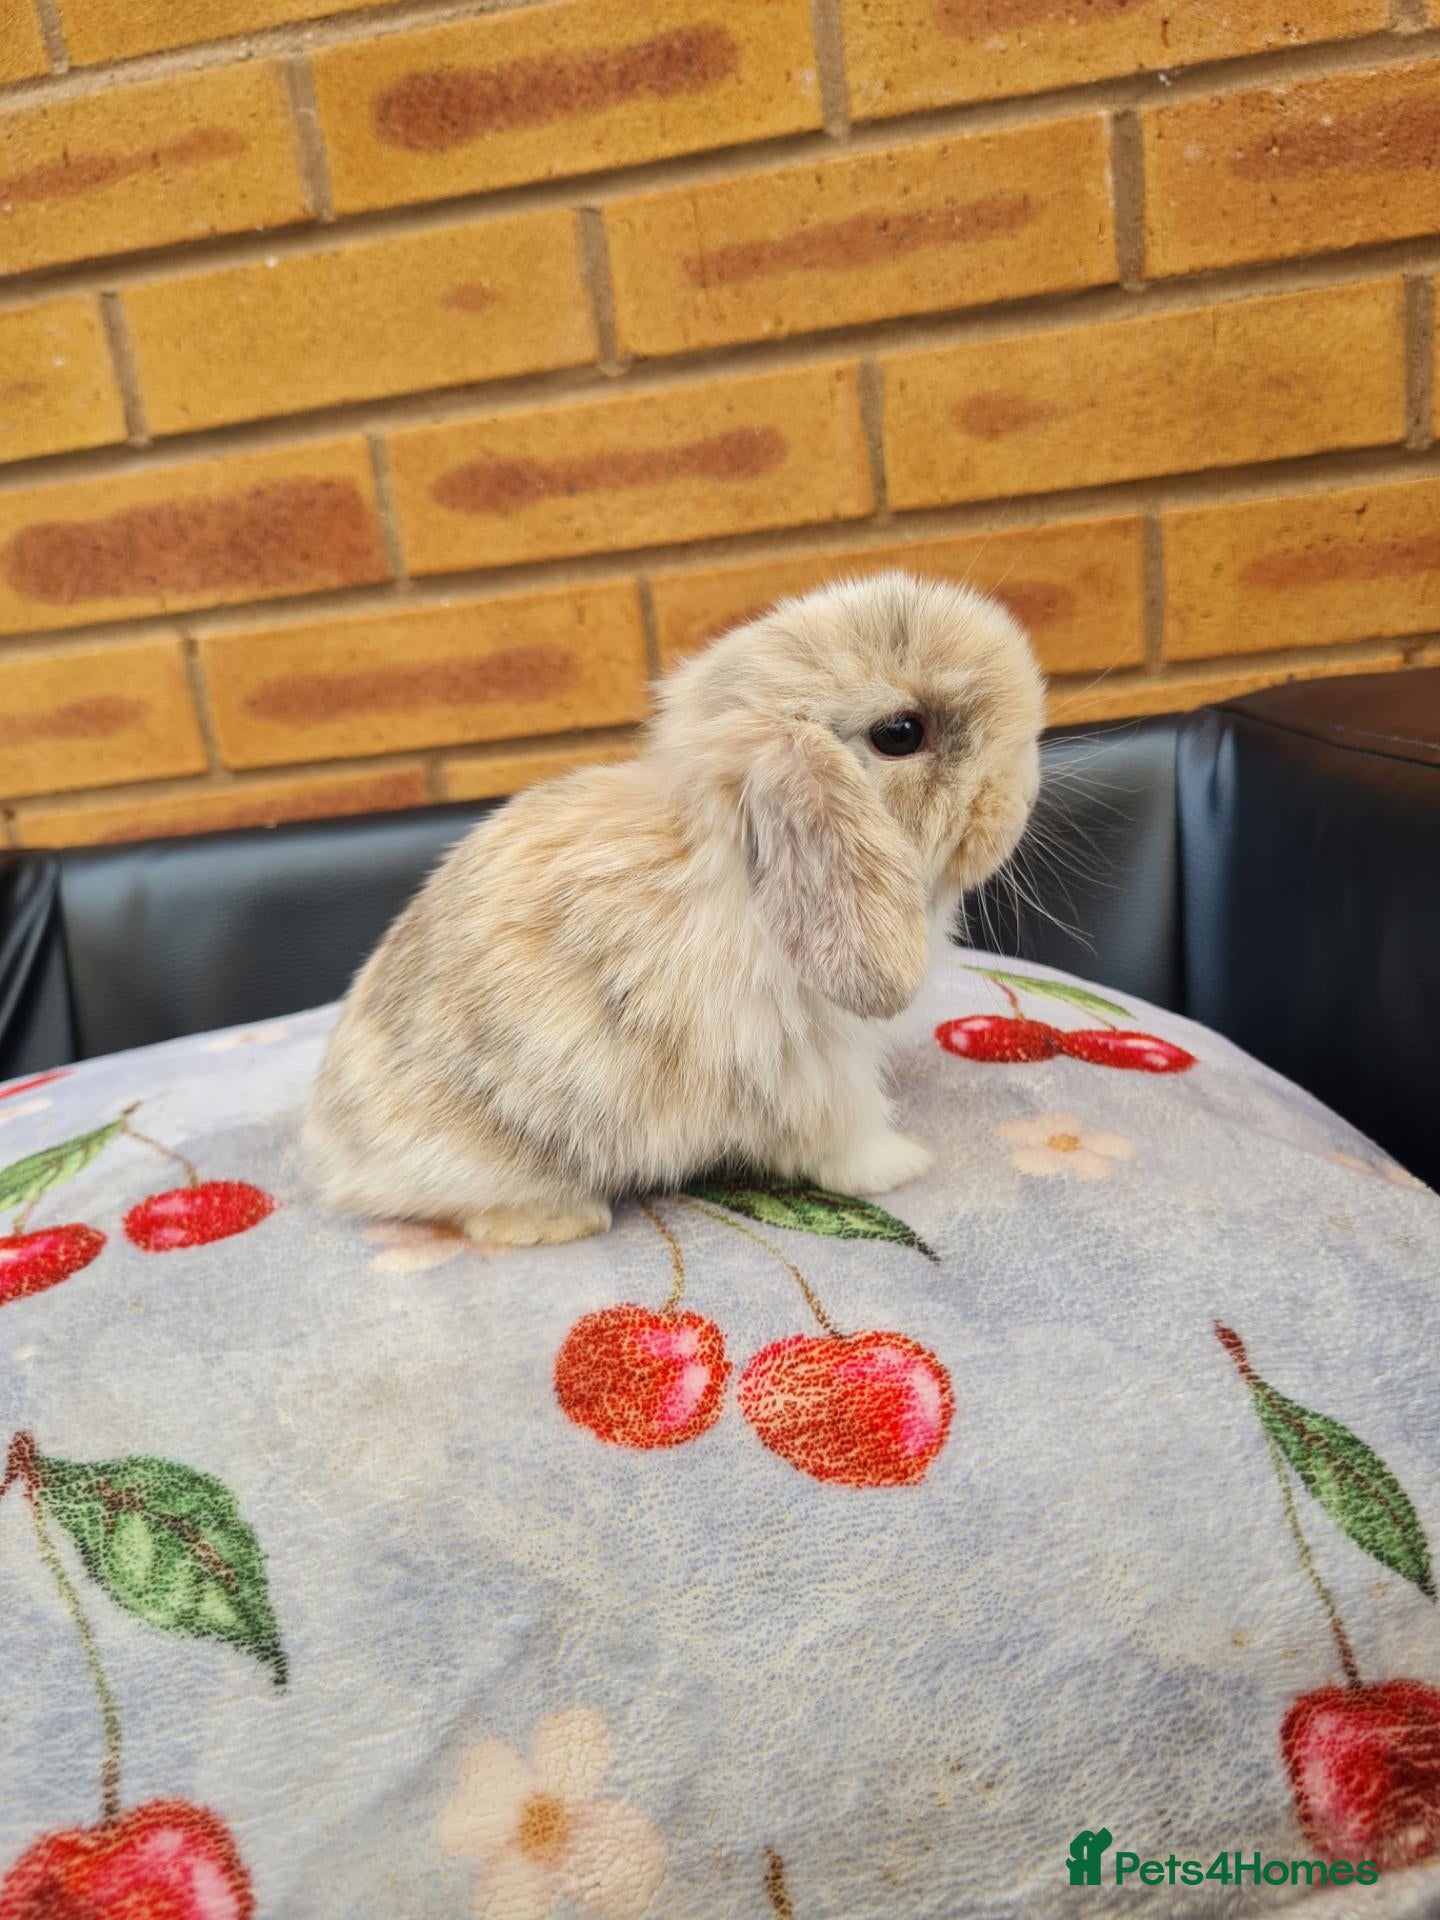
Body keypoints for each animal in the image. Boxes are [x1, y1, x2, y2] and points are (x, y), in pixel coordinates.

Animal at [304, 571, 1044, 1247]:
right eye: (900, 733)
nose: (1020, 799)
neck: (738, 864)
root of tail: (333, 1153)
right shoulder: (812, 1068)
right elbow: (843, 1136)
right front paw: (902, 1164)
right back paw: (566, 1221)